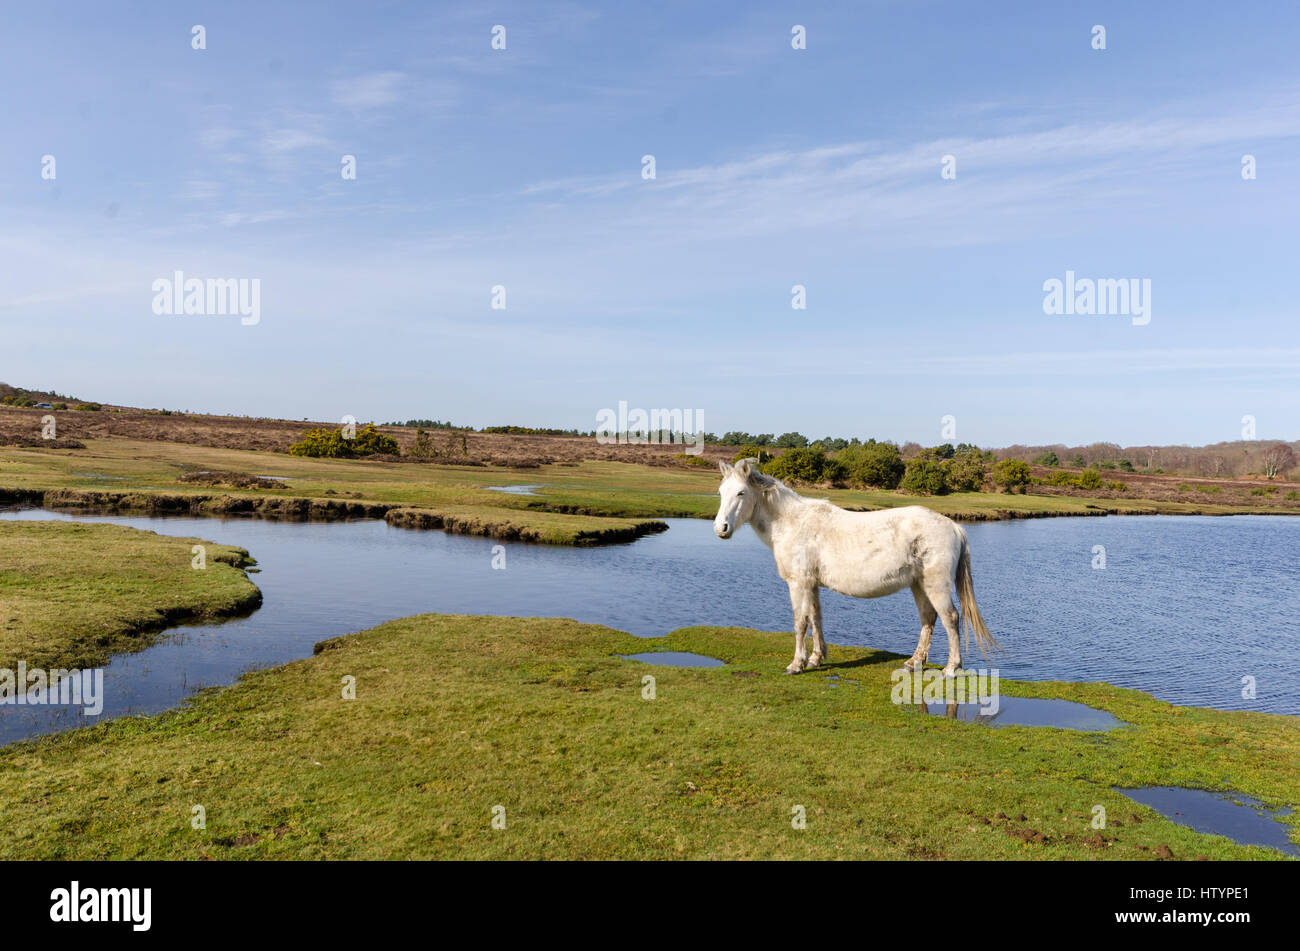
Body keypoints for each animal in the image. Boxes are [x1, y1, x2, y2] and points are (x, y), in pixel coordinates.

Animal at [717, 459, 998, 675]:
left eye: (741, 493)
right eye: (720, 492)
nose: (721, 528)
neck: (792, 523)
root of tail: (953, 526)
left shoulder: (799, 583)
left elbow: (800, 622)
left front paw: (797, 664)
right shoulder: (812, 584)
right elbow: (816, 618)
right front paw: (816, 658)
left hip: (935, 585)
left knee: (950, 618)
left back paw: (952, 668)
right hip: (919, 584)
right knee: (928, 618)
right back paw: (913, 663)